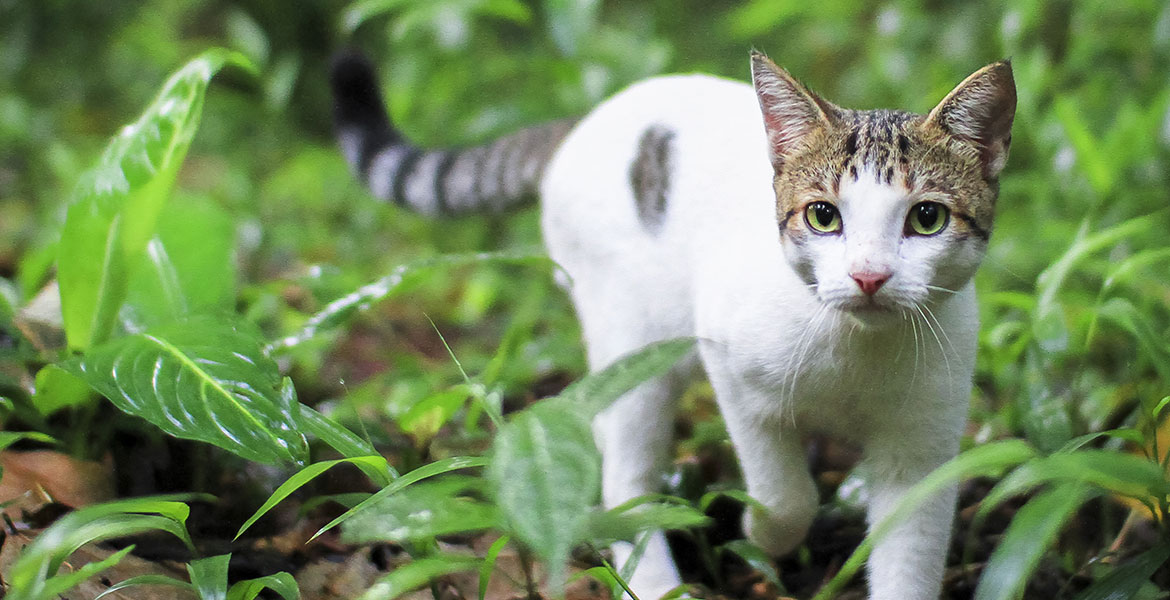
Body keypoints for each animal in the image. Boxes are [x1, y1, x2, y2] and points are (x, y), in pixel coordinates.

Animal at [332, 49, 1015, 596]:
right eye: (824, 216)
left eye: (926, 218)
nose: (869, 276)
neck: (855, 353)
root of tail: (583, 123)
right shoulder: (732, 371)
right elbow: (785, 495)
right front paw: (760, 534)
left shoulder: (922, 443)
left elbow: (909, 552)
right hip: (632, 342)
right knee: (623, 479)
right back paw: (657, 581)